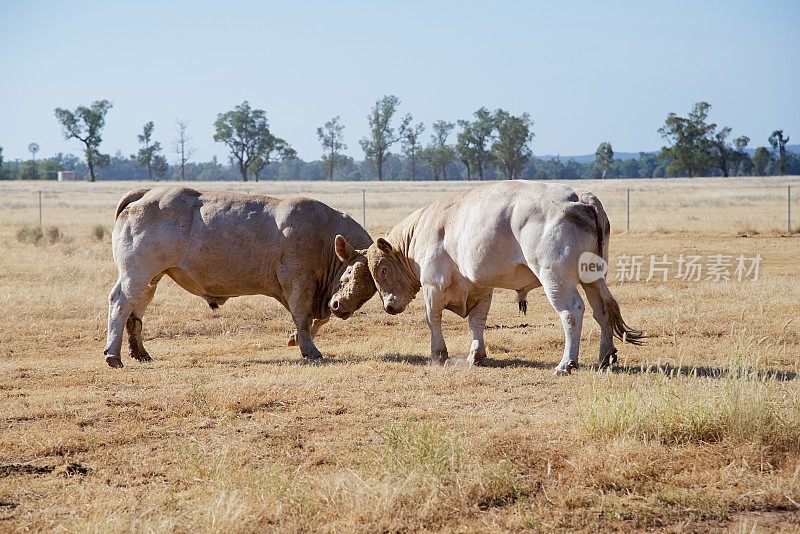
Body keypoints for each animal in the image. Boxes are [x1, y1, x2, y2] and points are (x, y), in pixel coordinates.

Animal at [103, 187, 376, 368]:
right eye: (349, 273)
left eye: (370, 291)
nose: (341, 308)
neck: (324, 234)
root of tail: (146, 193)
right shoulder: (299, 282)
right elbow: (303, 317)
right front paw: (309, 348)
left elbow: (317, 320)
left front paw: (296, 338)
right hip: (136, 274)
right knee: (121, 303)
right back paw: (113, 355)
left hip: (151, 278)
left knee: (136, 310)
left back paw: (140, 352)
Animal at [332, 182, 644, 374]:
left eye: (382, 271)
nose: (389, 306)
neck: (423, 230)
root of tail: (582, 199)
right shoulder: (481, 288)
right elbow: (477, 321)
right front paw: (476, 354)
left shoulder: (433, 285)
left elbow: (433, 319)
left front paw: (438, 354)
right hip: (592, 278)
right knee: (601, 311)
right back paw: (605, 357)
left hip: (556, 279)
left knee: (572, 312)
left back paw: (566, 363)